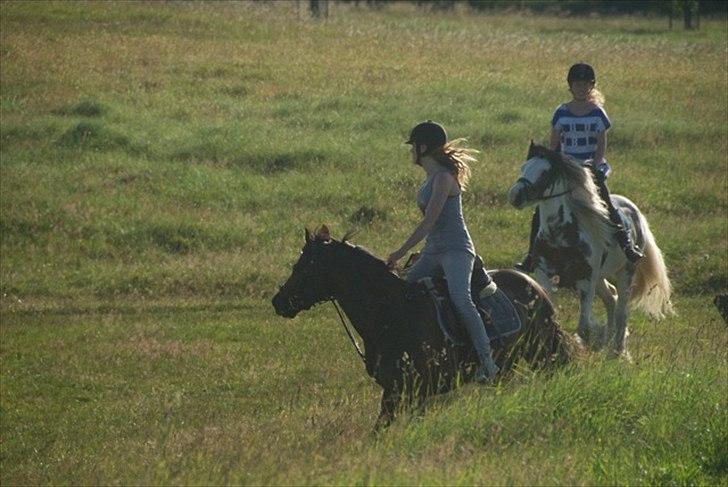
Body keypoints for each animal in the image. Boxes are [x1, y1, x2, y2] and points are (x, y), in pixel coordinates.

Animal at [270, 227, 576, 428]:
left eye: (303, 267)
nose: (278, 301)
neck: (391, 313)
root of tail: (537, 289)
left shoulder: (415, 393)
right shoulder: (394, 392)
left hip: (541, 356)